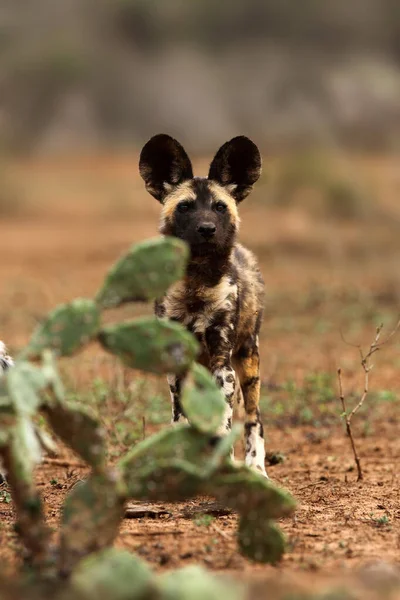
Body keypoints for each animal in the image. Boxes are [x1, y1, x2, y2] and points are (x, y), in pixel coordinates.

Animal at [139, 134, 268, 476]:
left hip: (248, 362)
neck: (196, 283)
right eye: (185, 207)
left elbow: (224, 424)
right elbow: (181, 419)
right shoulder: (177, 366)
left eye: (219, 207)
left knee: (254, 420)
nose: (207, 229)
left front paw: (224, 464)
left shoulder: (224, 364)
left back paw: (256, 467)